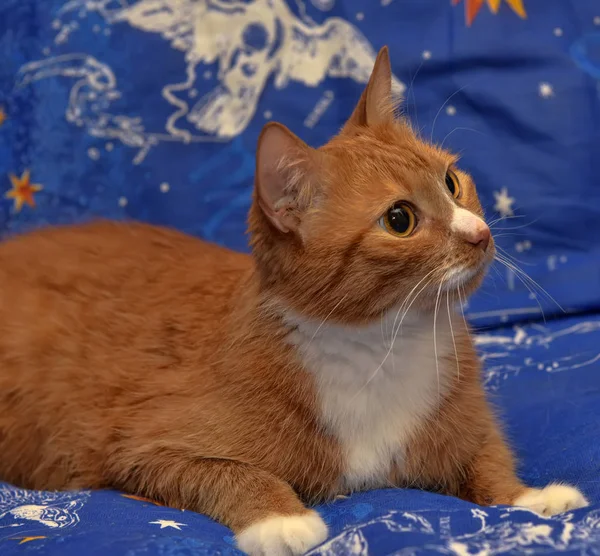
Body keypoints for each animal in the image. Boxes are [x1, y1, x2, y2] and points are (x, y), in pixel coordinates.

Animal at [0, 48, 588, 556]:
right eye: (400, 219)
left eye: (451, 181)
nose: (480, 234)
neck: (382, 345)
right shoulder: (143, 446)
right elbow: (231, 471)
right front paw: (282, 519)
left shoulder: (462, 423)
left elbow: (488, 457)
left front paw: (530, 498)